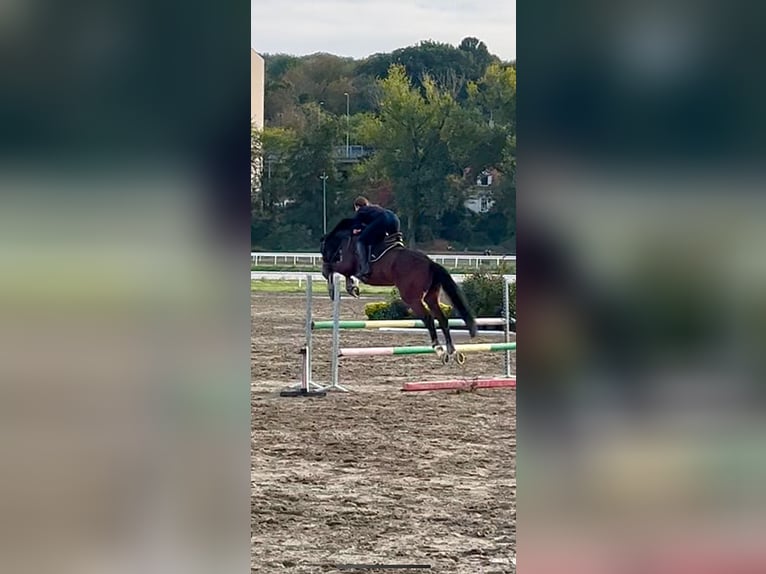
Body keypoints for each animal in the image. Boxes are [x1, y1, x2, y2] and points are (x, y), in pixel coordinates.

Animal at [320, 218, 477, 361]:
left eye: (324, 251)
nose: (325, 258)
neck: (346, 240)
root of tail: (430, 263)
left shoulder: (346, 265)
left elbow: (330, 269)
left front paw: (333, 289)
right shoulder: (348, 268)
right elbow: (344, 274)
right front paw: (352, 288)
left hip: (411, 298)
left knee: (428, 318)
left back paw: (438, 348)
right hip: (431, 297)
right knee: (442, 319)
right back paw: (452, 351)